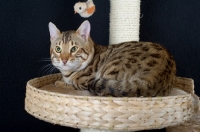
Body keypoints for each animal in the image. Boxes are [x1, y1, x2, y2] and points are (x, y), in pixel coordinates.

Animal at [48, 20, 177, 97]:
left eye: (74, 49)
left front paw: (59, 83)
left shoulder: (84, 83)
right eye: (58, 49)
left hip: (110, 69)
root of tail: (153, 79)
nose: (64, 60)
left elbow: (71, 84)